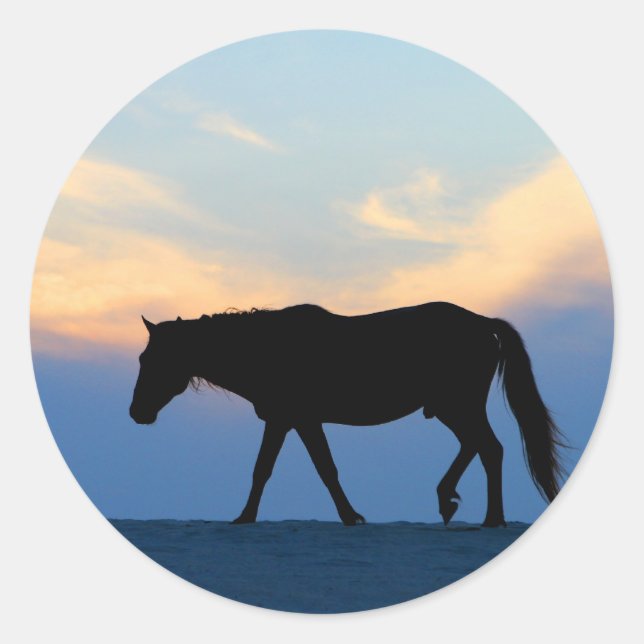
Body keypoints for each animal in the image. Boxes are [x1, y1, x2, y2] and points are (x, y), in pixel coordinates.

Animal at [129, 302, 566, 527]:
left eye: (152, 360)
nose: (136, 412)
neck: (268, 347)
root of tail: (482, 322)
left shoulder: (296, 419)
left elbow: (312, 468)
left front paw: (349, 515)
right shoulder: (290, 421)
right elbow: (278, 468)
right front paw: (248, 516)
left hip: (457, 405)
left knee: (489, 449)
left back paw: (491, 518)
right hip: (451, 408)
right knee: (477, 446)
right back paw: (450, 500)